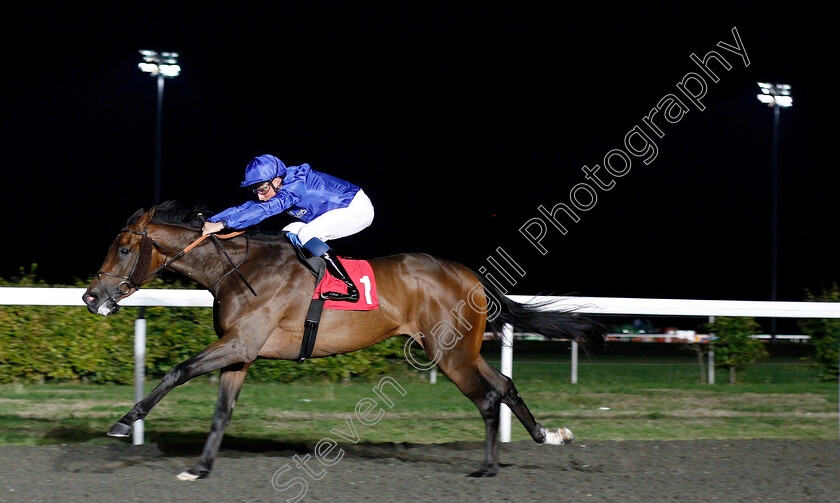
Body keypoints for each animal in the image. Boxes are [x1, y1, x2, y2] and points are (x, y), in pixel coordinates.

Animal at [82, 201, 604, 480]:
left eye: (124, 248)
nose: (91, 297)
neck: (240, 268)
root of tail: (472, 277)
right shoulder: (241, 353)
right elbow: (220, 413)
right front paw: (201, 467)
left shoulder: (240, 343)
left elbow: (177, 371)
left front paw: (124, 423)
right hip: (461, 350)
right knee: (505, 384)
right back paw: (548, 435)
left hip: (449, 352)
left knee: (488, 395)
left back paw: (488, 468)